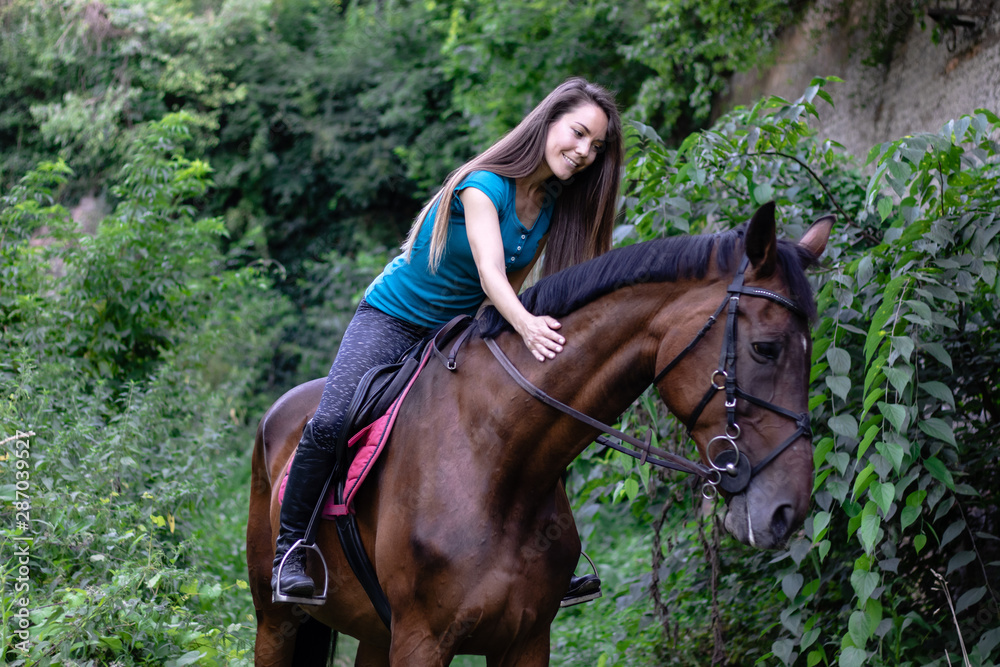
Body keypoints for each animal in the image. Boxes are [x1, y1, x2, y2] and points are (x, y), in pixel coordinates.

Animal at [246, 202, 832, 666]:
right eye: (766, 348)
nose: (788, 509)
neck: (495, 461)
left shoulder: (526, 640)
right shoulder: (420, 641)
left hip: (371, 633)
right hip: (277, 621)